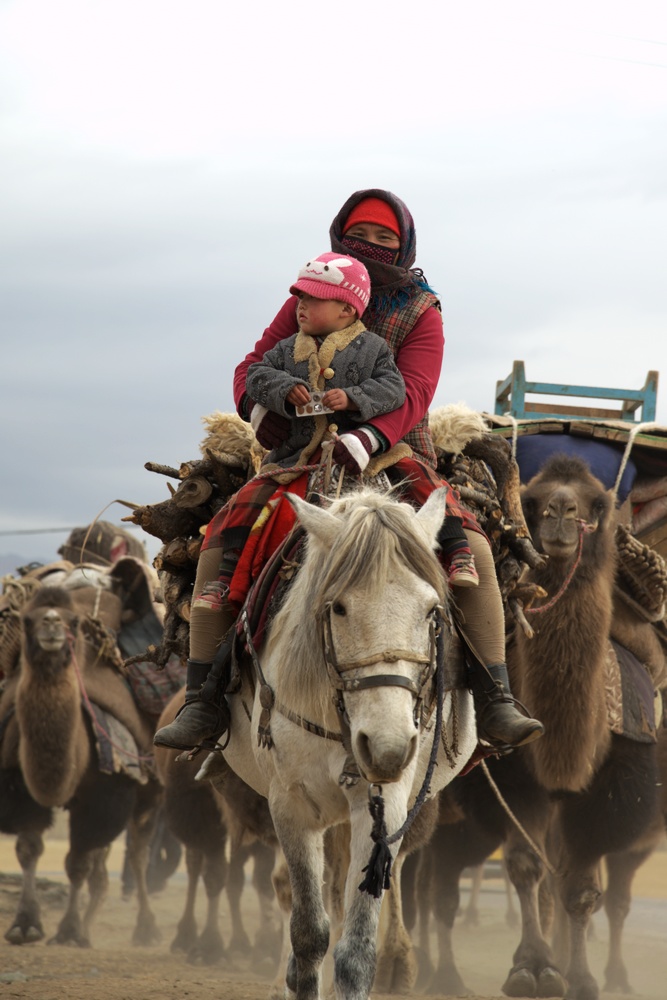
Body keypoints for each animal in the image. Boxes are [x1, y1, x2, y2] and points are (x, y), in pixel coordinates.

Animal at [0, 584, 162, 944]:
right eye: (27, 620)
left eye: (73, 622)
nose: (51, 625)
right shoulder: (17, 784)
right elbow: (28, 848)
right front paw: (25, 925)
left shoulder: (106, 793)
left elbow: (78, 861)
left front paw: (70, 931)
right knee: (105, 866)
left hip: (150, 792)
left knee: (138, 853)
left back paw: (146, 928)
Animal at [201, 484, 478, 1000]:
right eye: (340, 607)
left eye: (432, 611)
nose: (388, 749)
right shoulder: (290, 807)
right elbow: (309, 934)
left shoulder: (383, 804)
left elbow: (355, 950)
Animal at [408, 456, 664, 1000]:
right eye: (532, 499)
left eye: (597, 504)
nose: (561, 512)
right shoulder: (516, 779)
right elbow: (526, 868)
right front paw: (532, 968)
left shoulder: (607, 790)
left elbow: (579, 887)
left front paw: (581, 978)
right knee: (420, 879)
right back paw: (420, 971)